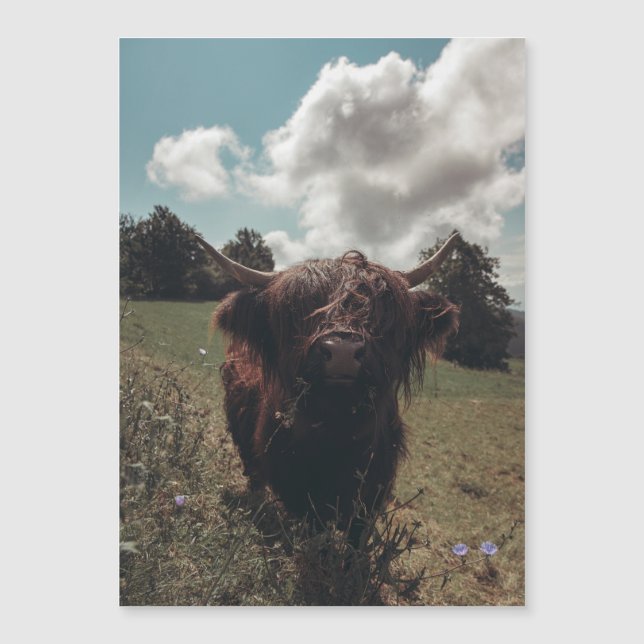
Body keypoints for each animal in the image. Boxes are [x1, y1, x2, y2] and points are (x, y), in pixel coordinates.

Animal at [196, 233, 460, 548]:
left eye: (382, 311)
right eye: (296, 309)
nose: (342, 351)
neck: (337, 432)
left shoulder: (372, 494)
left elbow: (356, 540)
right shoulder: (298, 490)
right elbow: (314, 531)